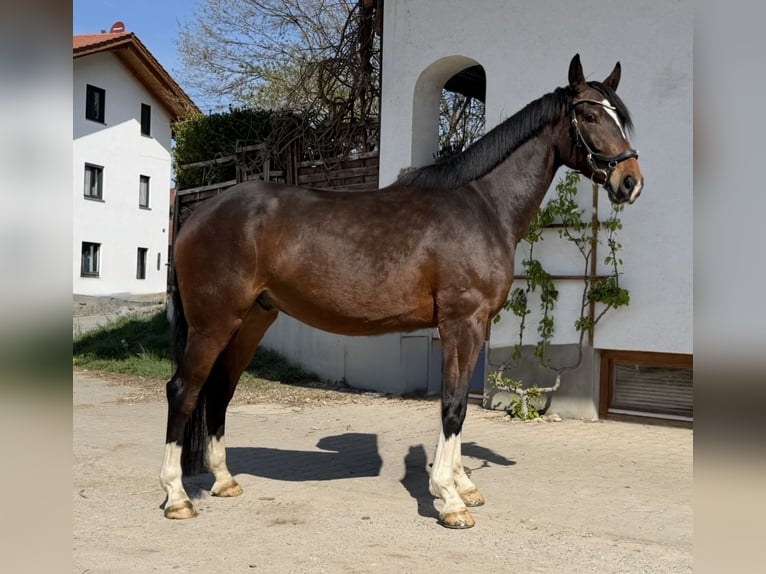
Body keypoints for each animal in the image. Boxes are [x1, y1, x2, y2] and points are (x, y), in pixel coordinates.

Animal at [160, 54, 643, 528]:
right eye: (590, 114)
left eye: (621, 116)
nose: (630, 181)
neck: (481, 205)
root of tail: (198, 214)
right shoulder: (460, 323)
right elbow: (453, 405)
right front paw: (449, 499)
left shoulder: (476, 327)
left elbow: (459, 402)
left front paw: (464, 484)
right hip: (214, 323)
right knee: (184, 390)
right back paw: (177, 496)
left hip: (252, 320)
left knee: (220, 390)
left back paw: (224, 481)